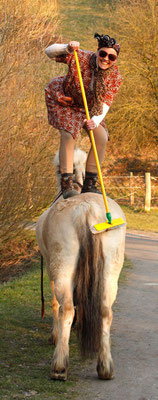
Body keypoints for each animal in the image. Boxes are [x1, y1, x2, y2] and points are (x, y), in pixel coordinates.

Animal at [35, 147, 126, 382]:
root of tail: (86, 209)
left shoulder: (51, 270)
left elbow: (55, 304)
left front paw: (55, 335)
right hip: (110, 273)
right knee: (105, 311)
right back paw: (105, 367)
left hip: (62, 268)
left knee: (66, 308)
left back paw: (59, 366)